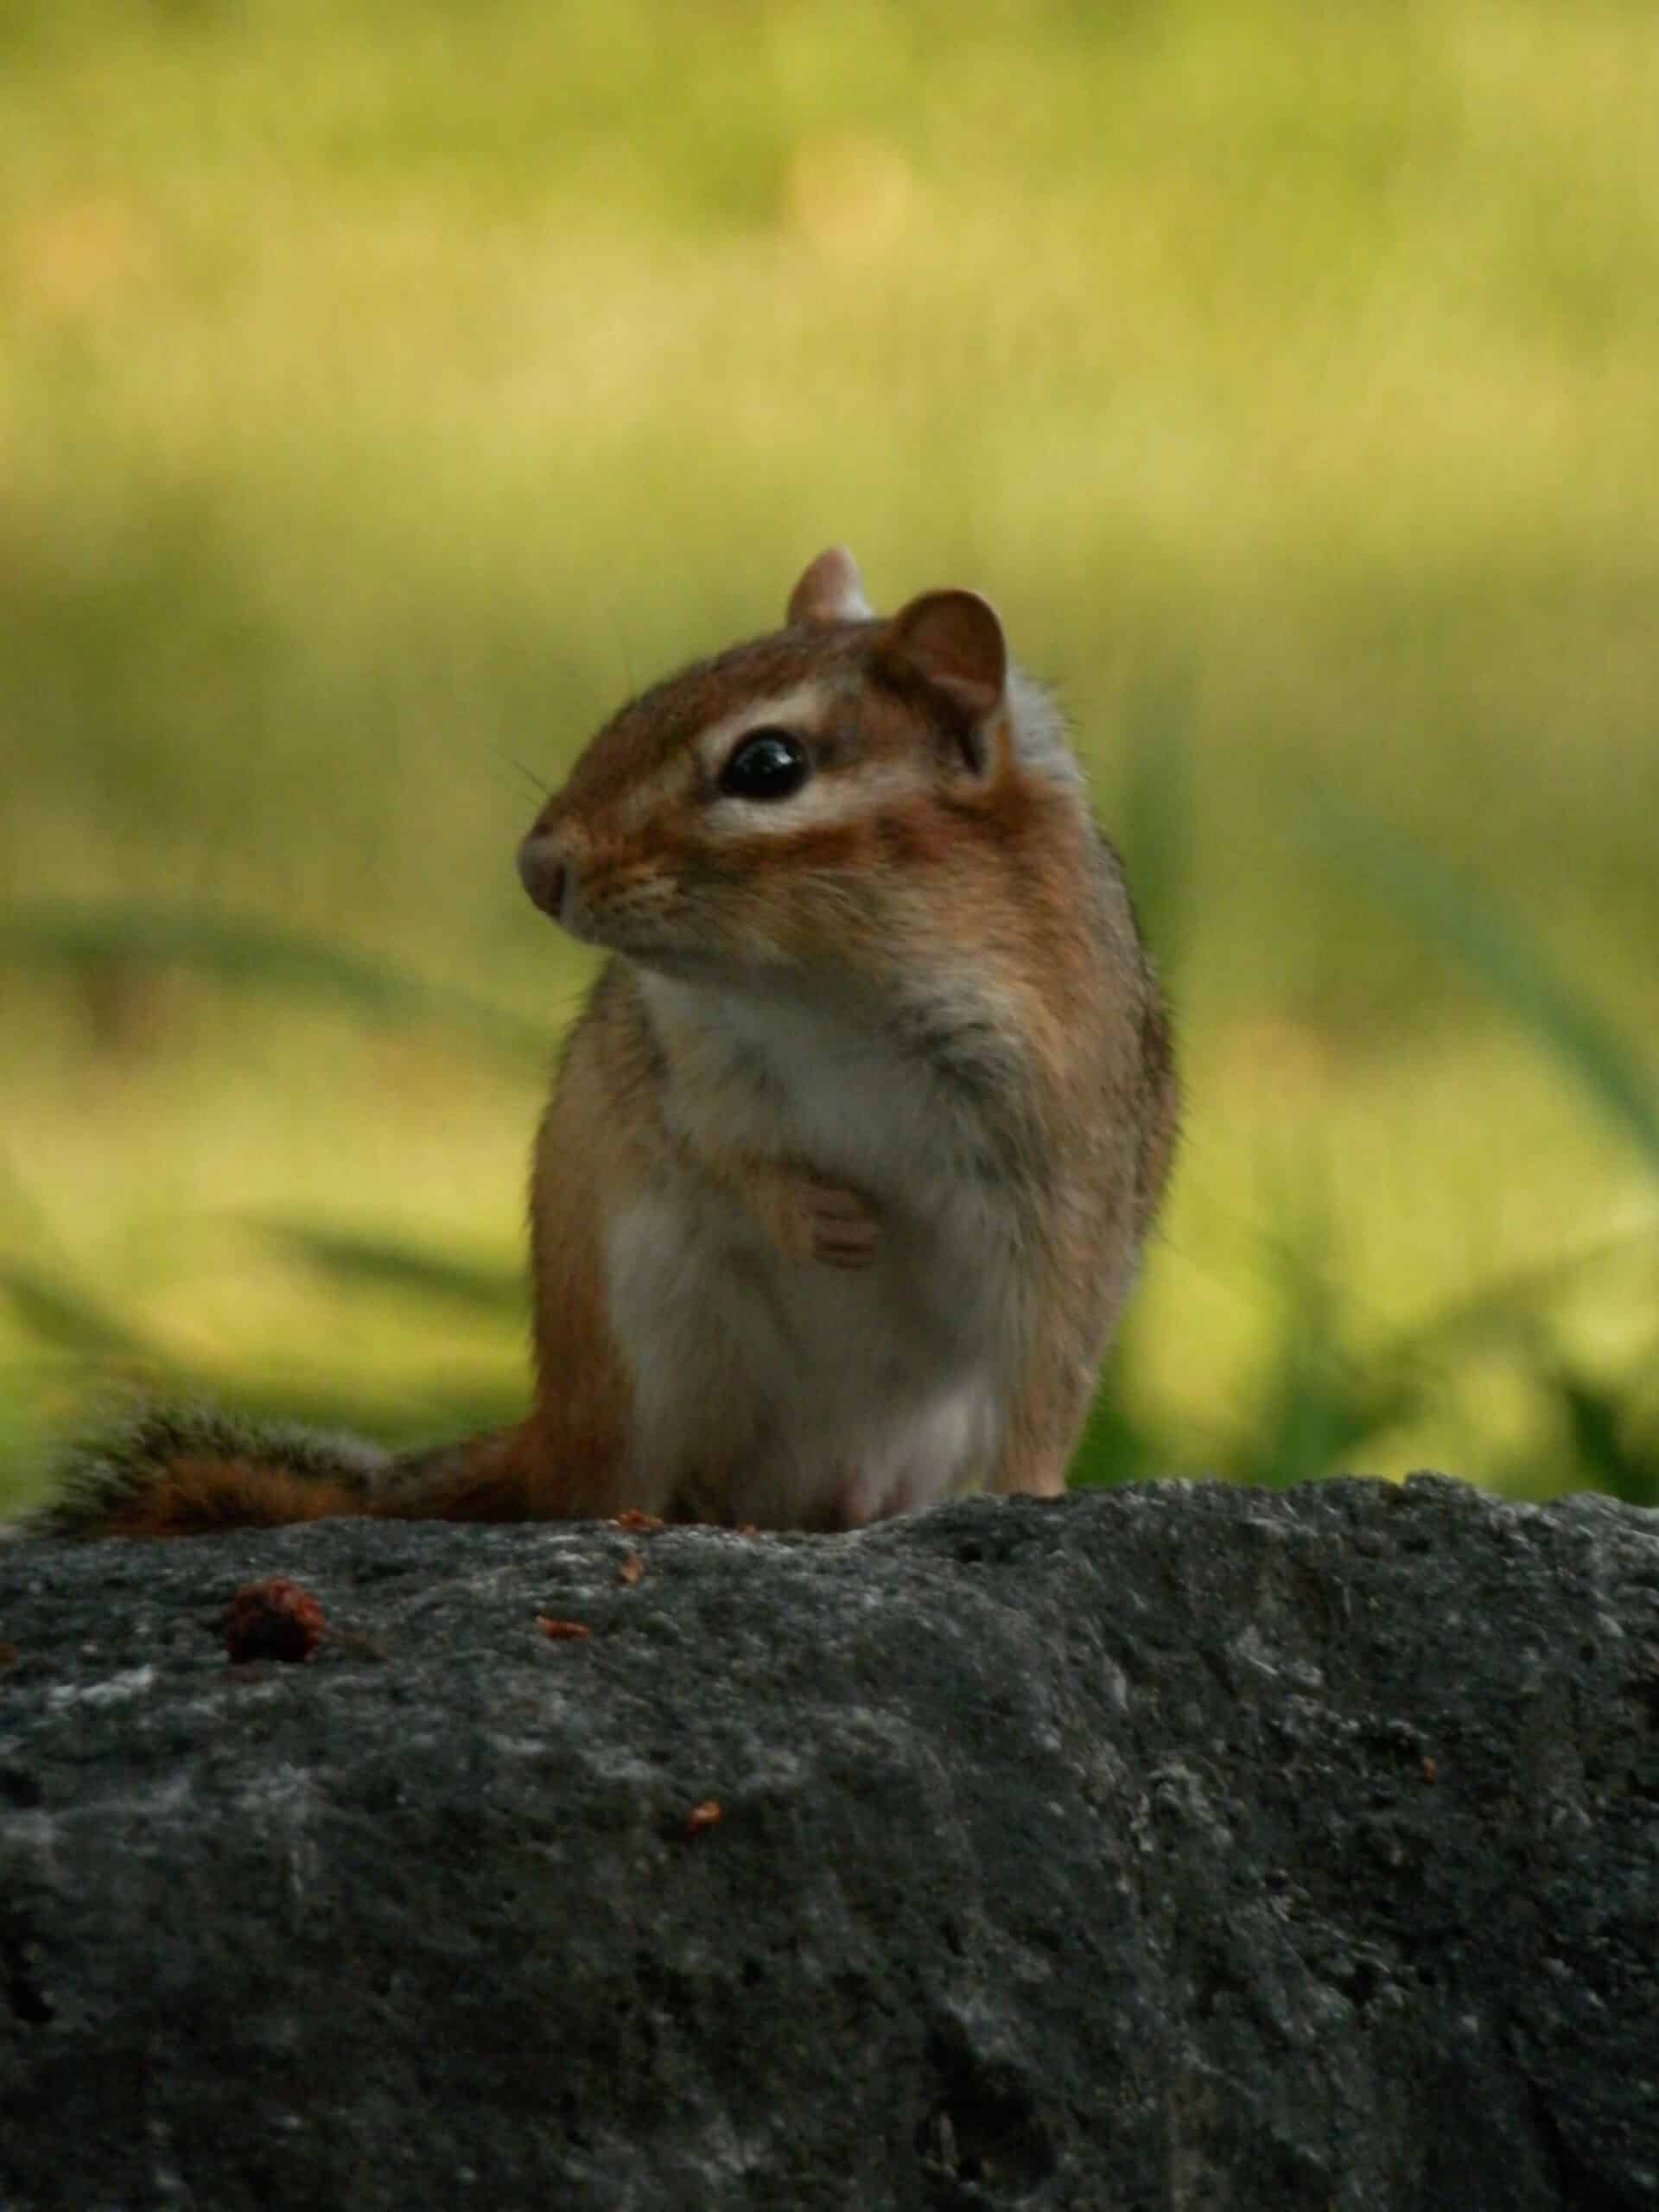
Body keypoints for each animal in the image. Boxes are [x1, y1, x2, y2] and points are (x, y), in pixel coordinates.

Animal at [38, 549, 1178, 1538]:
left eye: (768, 764)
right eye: (638, 705)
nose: (536, 866)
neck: (834, 994)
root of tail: (551, 1438)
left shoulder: (1063, 1171)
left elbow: (1053, 1366)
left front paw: (1028, 1495)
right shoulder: (683, 1048)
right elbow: (713, 1142)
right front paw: (812, 1214)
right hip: (655, 1327)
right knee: (617, 1487)